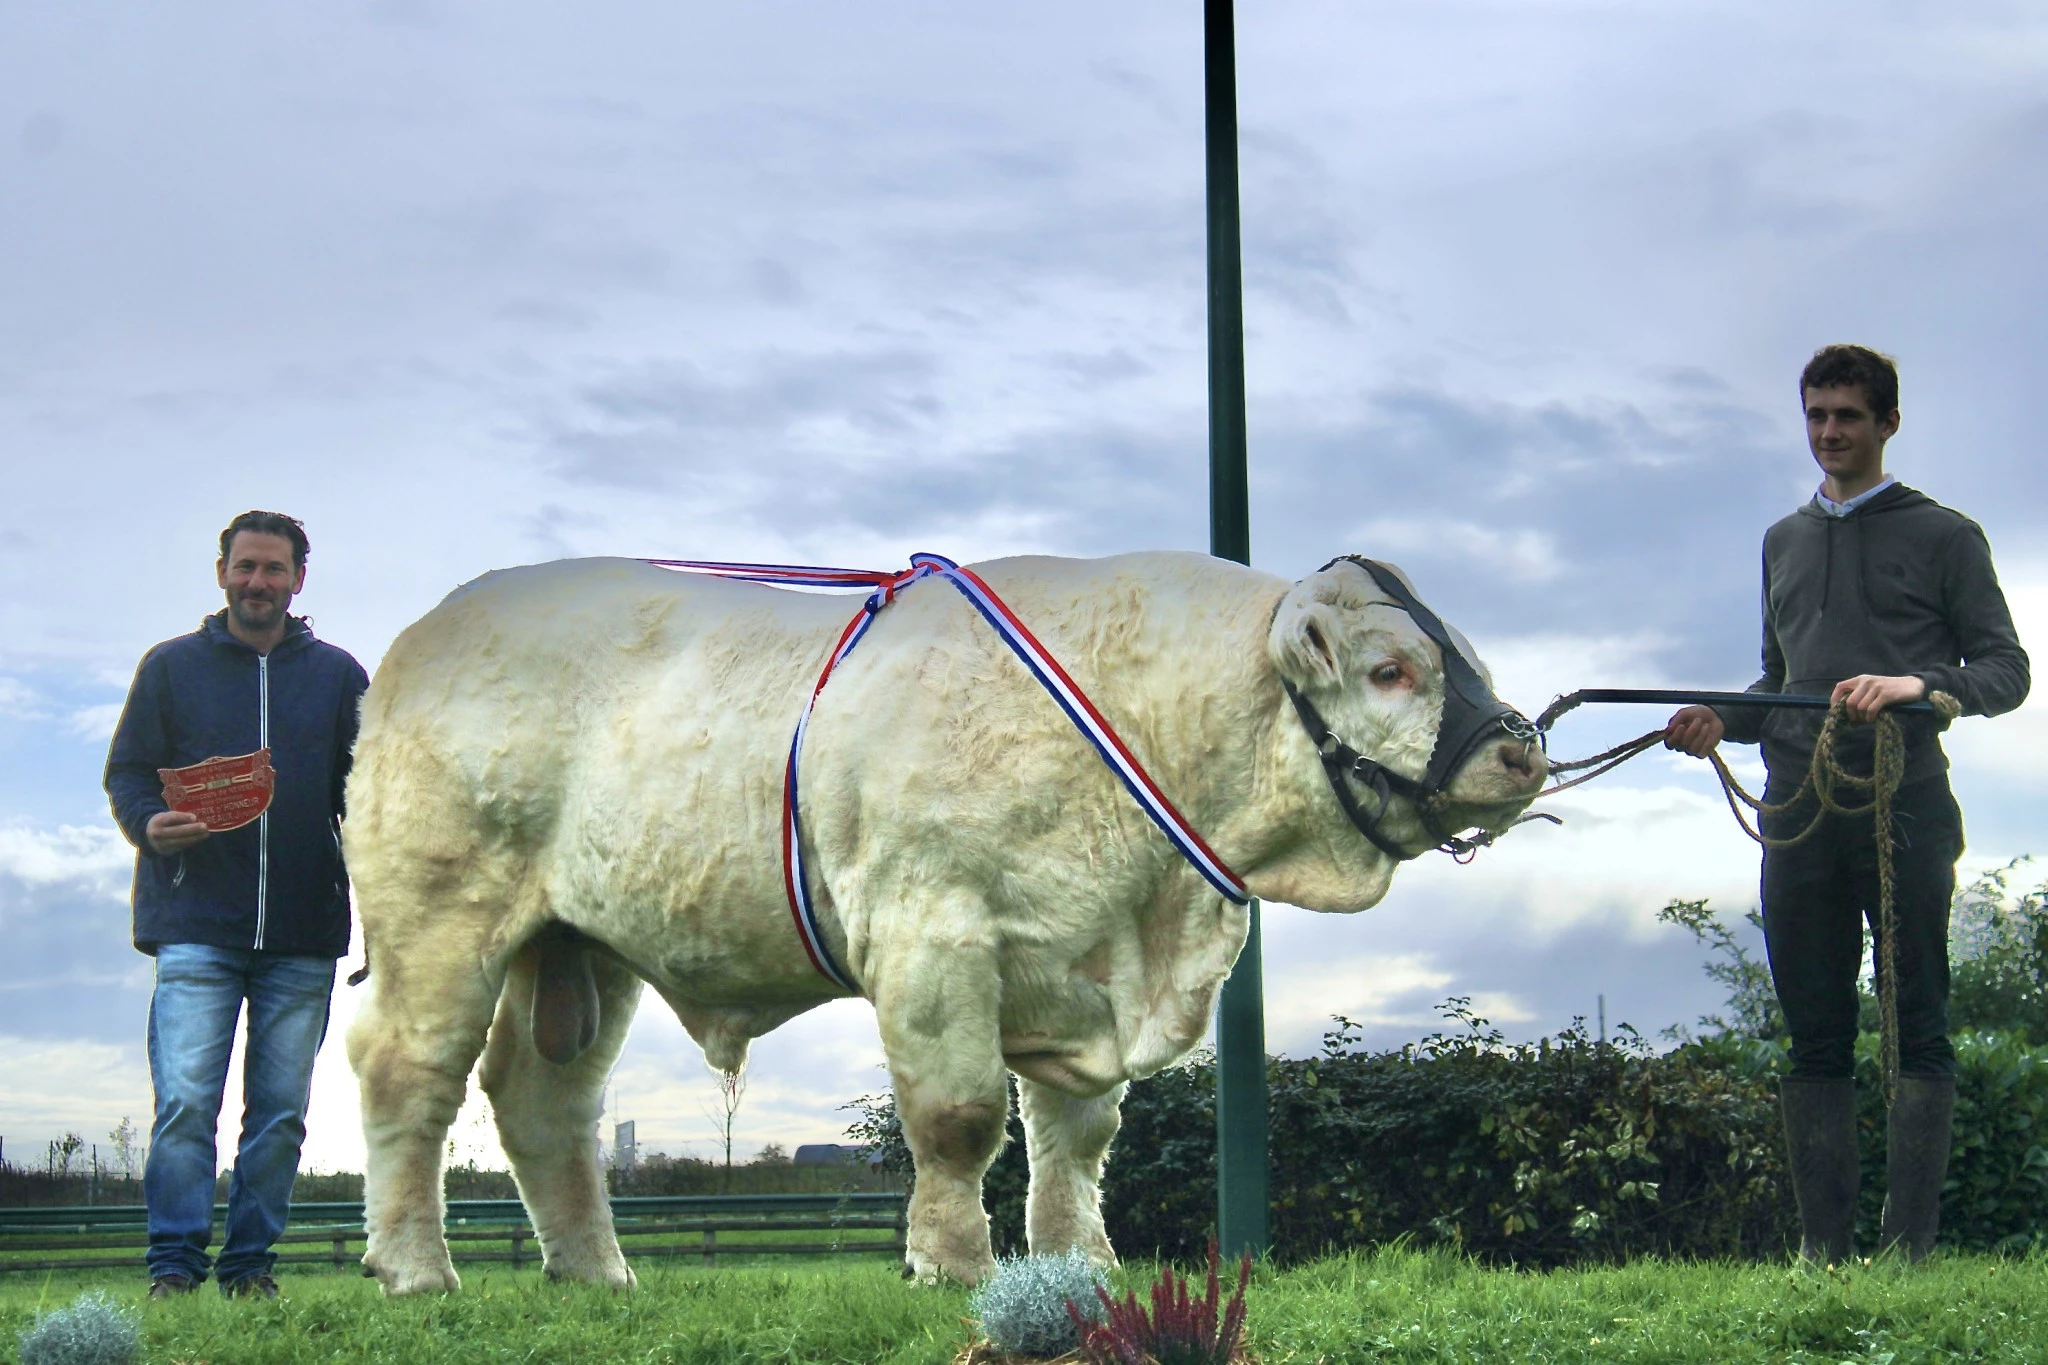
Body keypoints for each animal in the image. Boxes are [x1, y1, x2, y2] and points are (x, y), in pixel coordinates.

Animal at [344, 552, 1540, 1293]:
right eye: (1391, 670)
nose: (1518, 750)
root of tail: (431, 631)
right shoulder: (935, 933)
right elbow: (961, 1119)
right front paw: (953, 1262)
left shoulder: (1080, 962)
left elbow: (1077, 1139)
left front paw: (1078, 1264)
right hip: (439, 915)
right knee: (409, 1071)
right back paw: (415, 1268)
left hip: (580, 947)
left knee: (544, 1101)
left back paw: (597, 1270)